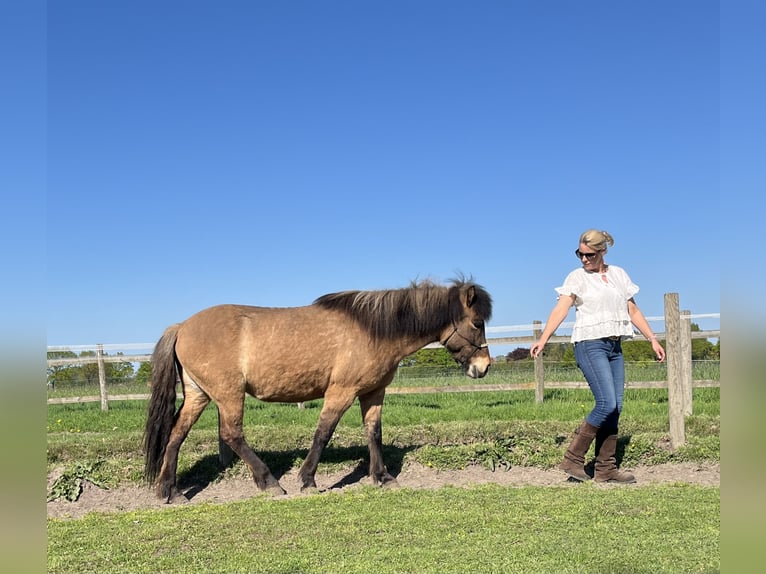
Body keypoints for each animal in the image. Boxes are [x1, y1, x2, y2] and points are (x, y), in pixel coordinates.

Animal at [144, 278, 493, 502]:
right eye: (477, 323)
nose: (484, 366)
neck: (373, 330)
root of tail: (182, 327)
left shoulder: (373, 393)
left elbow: (374, 433)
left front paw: (382, 477)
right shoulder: (341, 392)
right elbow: (323, 433)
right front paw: (307, 479)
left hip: (199, 394)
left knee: (176, 434)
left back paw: (169, 491)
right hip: (228, 395)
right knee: (231, 434)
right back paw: (269, 482)